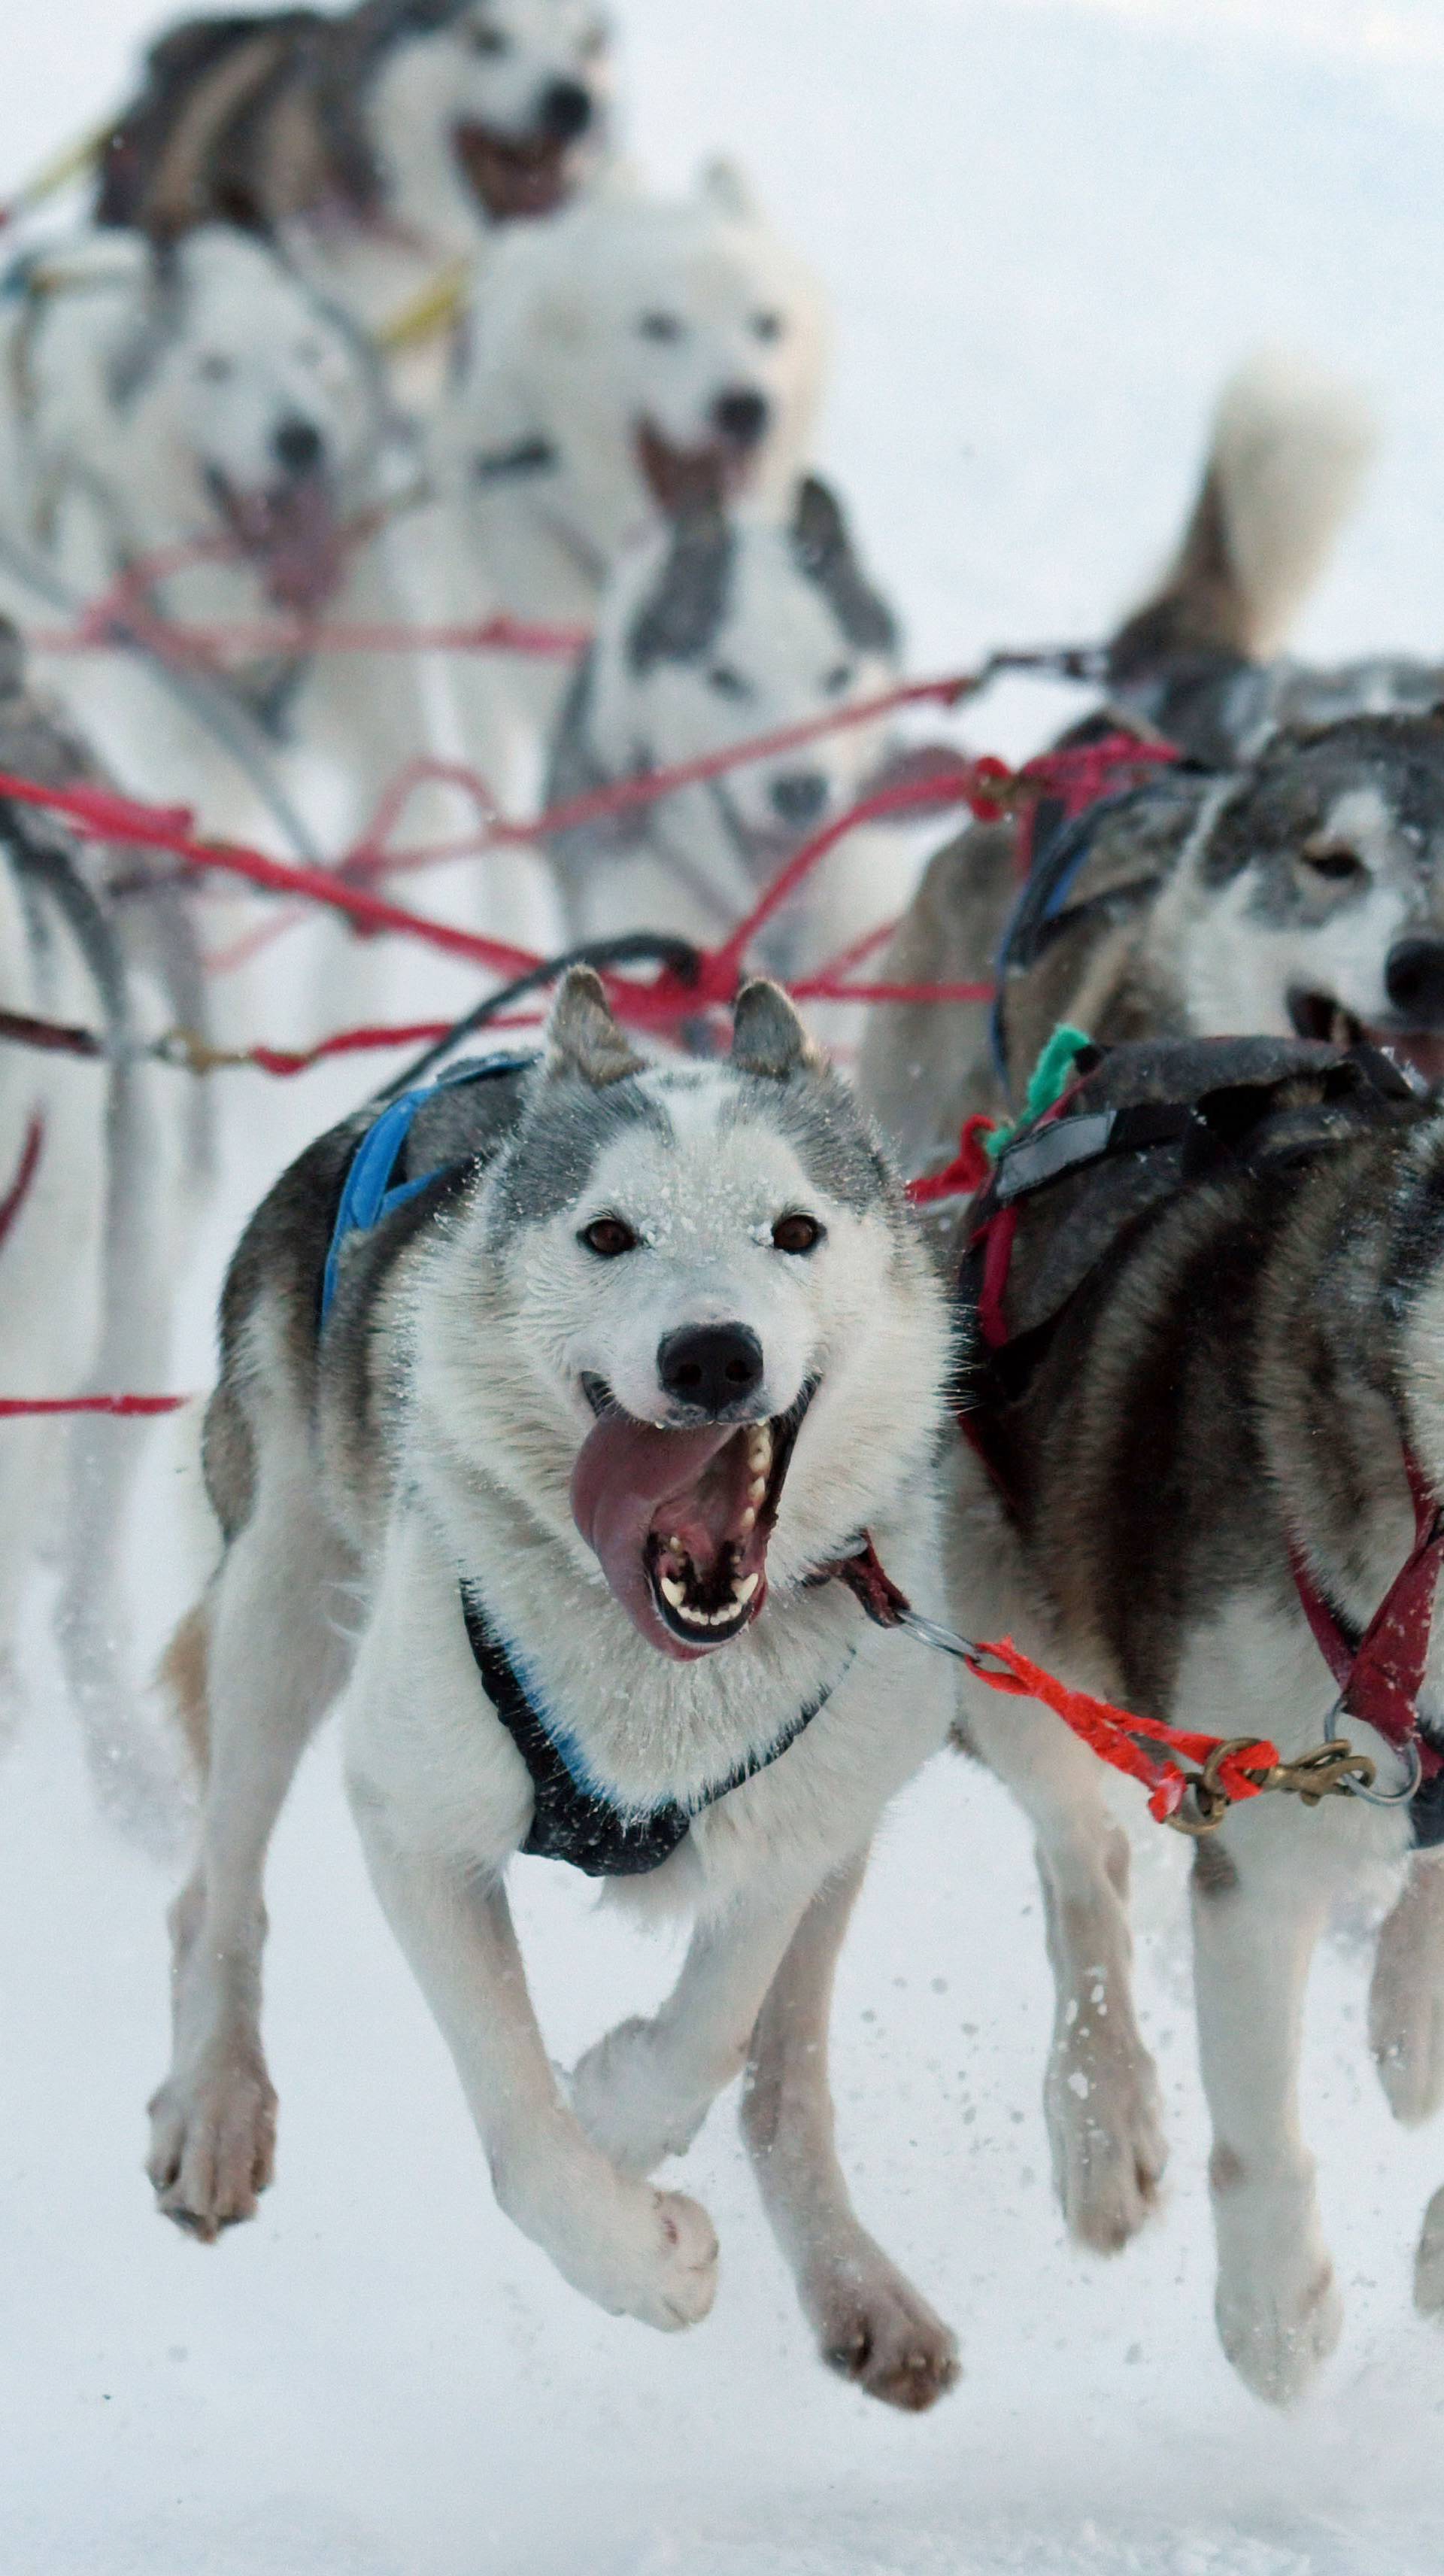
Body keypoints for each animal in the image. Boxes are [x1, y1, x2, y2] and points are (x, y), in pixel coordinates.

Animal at [147, 974, 963, 2401]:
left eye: (796, 1230)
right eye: (609, 1234)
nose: (712, 1354)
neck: (653, 1661)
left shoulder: (793, 1820)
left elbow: (712, 2028)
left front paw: (623, 2106)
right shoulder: (417, 1821)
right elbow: (522, 2127)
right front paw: (636, 2258)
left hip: (864, 1777)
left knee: (784, 2079)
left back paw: (851, 2275)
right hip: (279, 1608)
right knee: (217, 1890)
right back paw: (215, 2098)